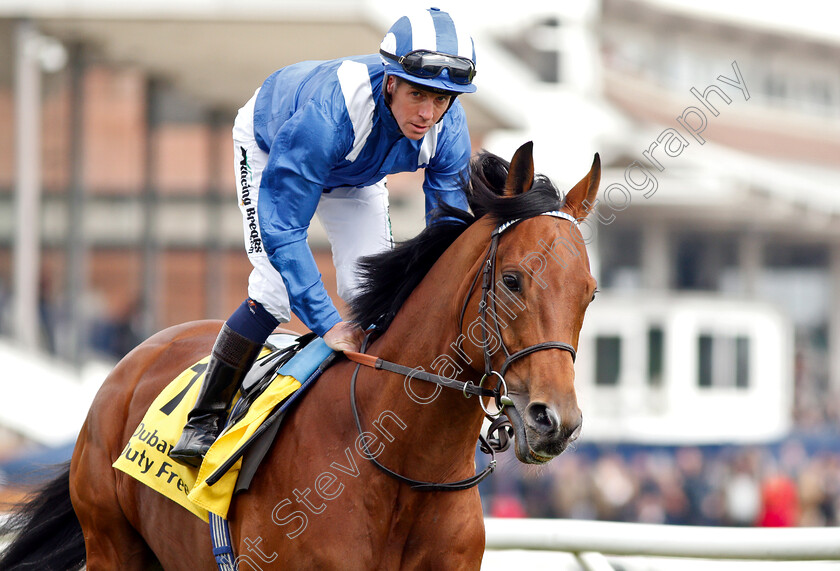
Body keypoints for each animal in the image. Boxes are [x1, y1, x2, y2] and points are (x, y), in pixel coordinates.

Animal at [3, 141, 600, 568]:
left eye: (590, 293)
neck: (402, 469)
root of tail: (137, 357)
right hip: (111, 543)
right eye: (514, 280)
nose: (555, 421)